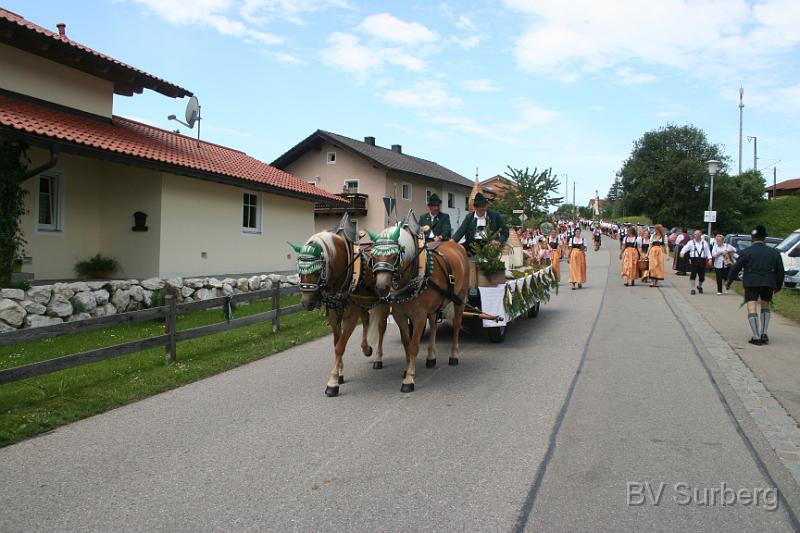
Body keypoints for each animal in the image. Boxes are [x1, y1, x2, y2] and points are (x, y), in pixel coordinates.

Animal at [290, 214, 390, 396]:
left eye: (318, 270)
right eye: (300, 270)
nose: (307, 303)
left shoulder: (351, 315)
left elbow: (340, 346)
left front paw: (333, 382)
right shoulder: (333, 313)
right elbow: (337, 343)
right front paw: (340, 373)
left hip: (383, 303)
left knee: (381, 328)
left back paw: (378, 358)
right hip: (362, 302)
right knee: (366, 321)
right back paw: (366, 348)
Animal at [364, 212, 468, 390]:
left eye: (394, 256)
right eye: (374, 257)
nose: (382, 287)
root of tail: (457, 246)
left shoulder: (419, 317)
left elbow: (414, 346)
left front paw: (409, 380)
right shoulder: (400, 315)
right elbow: (407, 343)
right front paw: (407, 370)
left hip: (460, 299)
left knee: (456, 324)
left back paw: (454, 356)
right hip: (434, 306)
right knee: (433, 325)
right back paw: (431, 357)